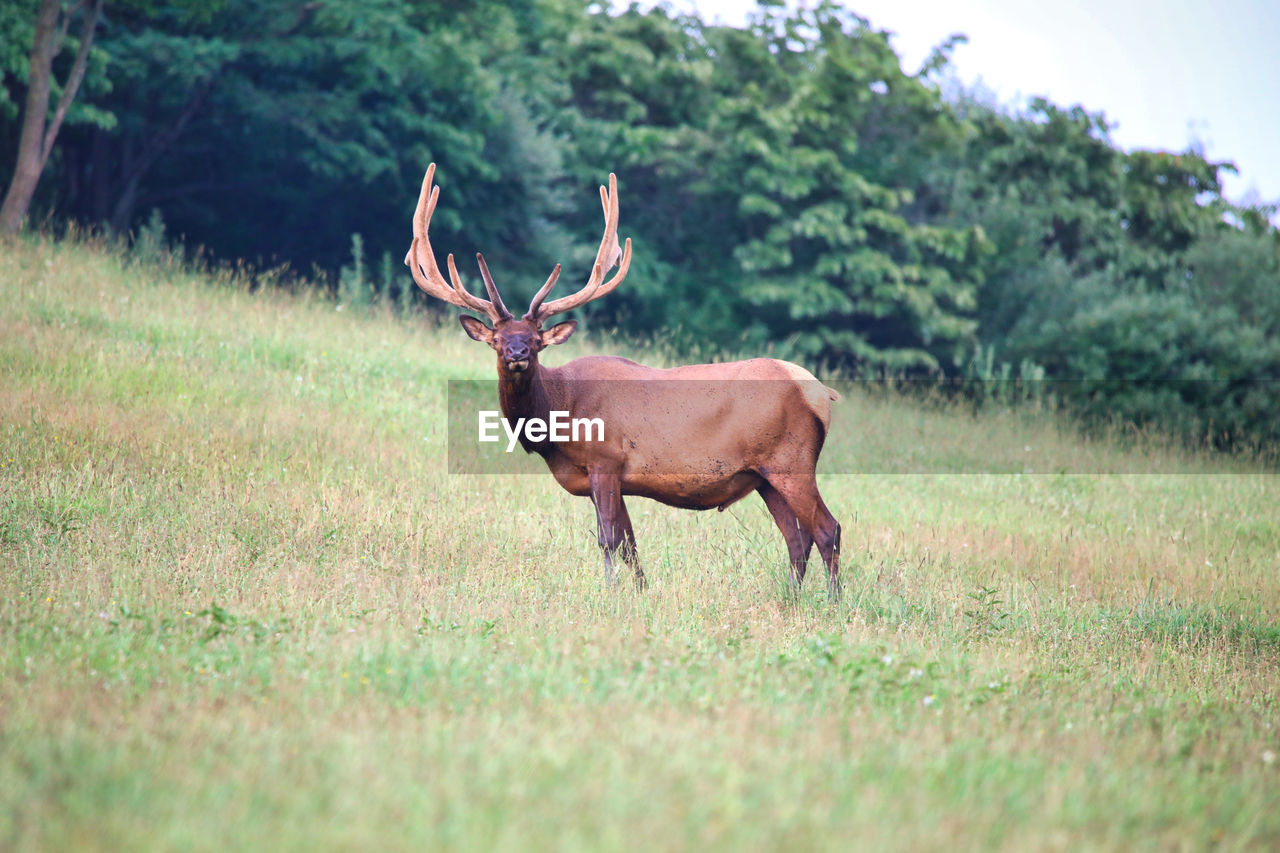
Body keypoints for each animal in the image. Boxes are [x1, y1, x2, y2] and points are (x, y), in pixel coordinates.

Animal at [404, 162, 844, 594]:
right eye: (497, 340)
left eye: (536, 340)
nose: (517, 354)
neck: (559, 415)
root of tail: (821, 393)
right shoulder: (609, 476)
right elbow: (630, 543)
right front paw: (640, 592)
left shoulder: (606, 460)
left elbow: (609, 539)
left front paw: (611, 593)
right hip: (764, 475)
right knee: (797, 539)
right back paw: (791, 598)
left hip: (791, 460)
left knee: (827, 529)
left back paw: (832, 602)